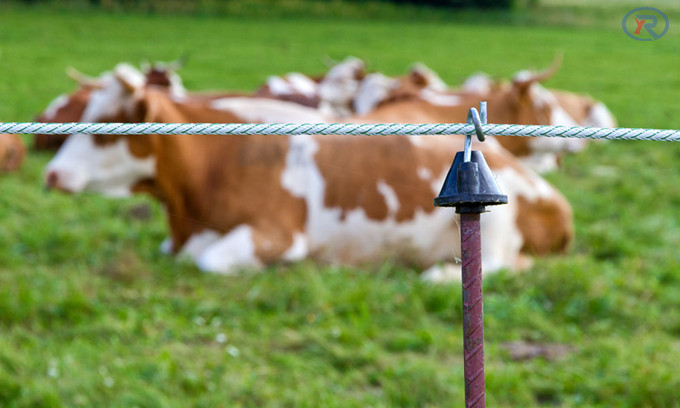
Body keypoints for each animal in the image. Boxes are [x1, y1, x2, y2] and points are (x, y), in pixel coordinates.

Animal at [43, 63, 572, 280]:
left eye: (105, 130)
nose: (50, 175)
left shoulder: (277, 233)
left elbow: (210, 261)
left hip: (499, 223)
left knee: (502, 265)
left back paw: (439, 275)